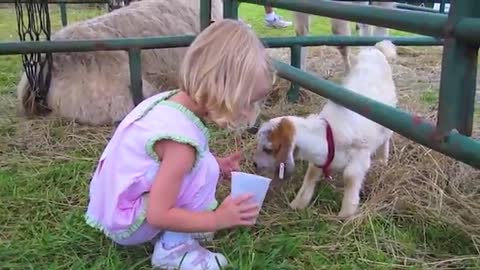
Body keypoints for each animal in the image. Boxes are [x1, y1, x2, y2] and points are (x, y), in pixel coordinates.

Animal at [251, 40, 398, 219]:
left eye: (268, 148)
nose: (255, 164)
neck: (330, 134)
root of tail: (376, 50)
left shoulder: (360, 154)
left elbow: (350, 177)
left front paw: (346, 212)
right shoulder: (321, 157)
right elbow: (312, 174)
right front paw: (298, 203)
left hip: (389, 111)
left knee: (386, 136)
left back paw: (383, 160)